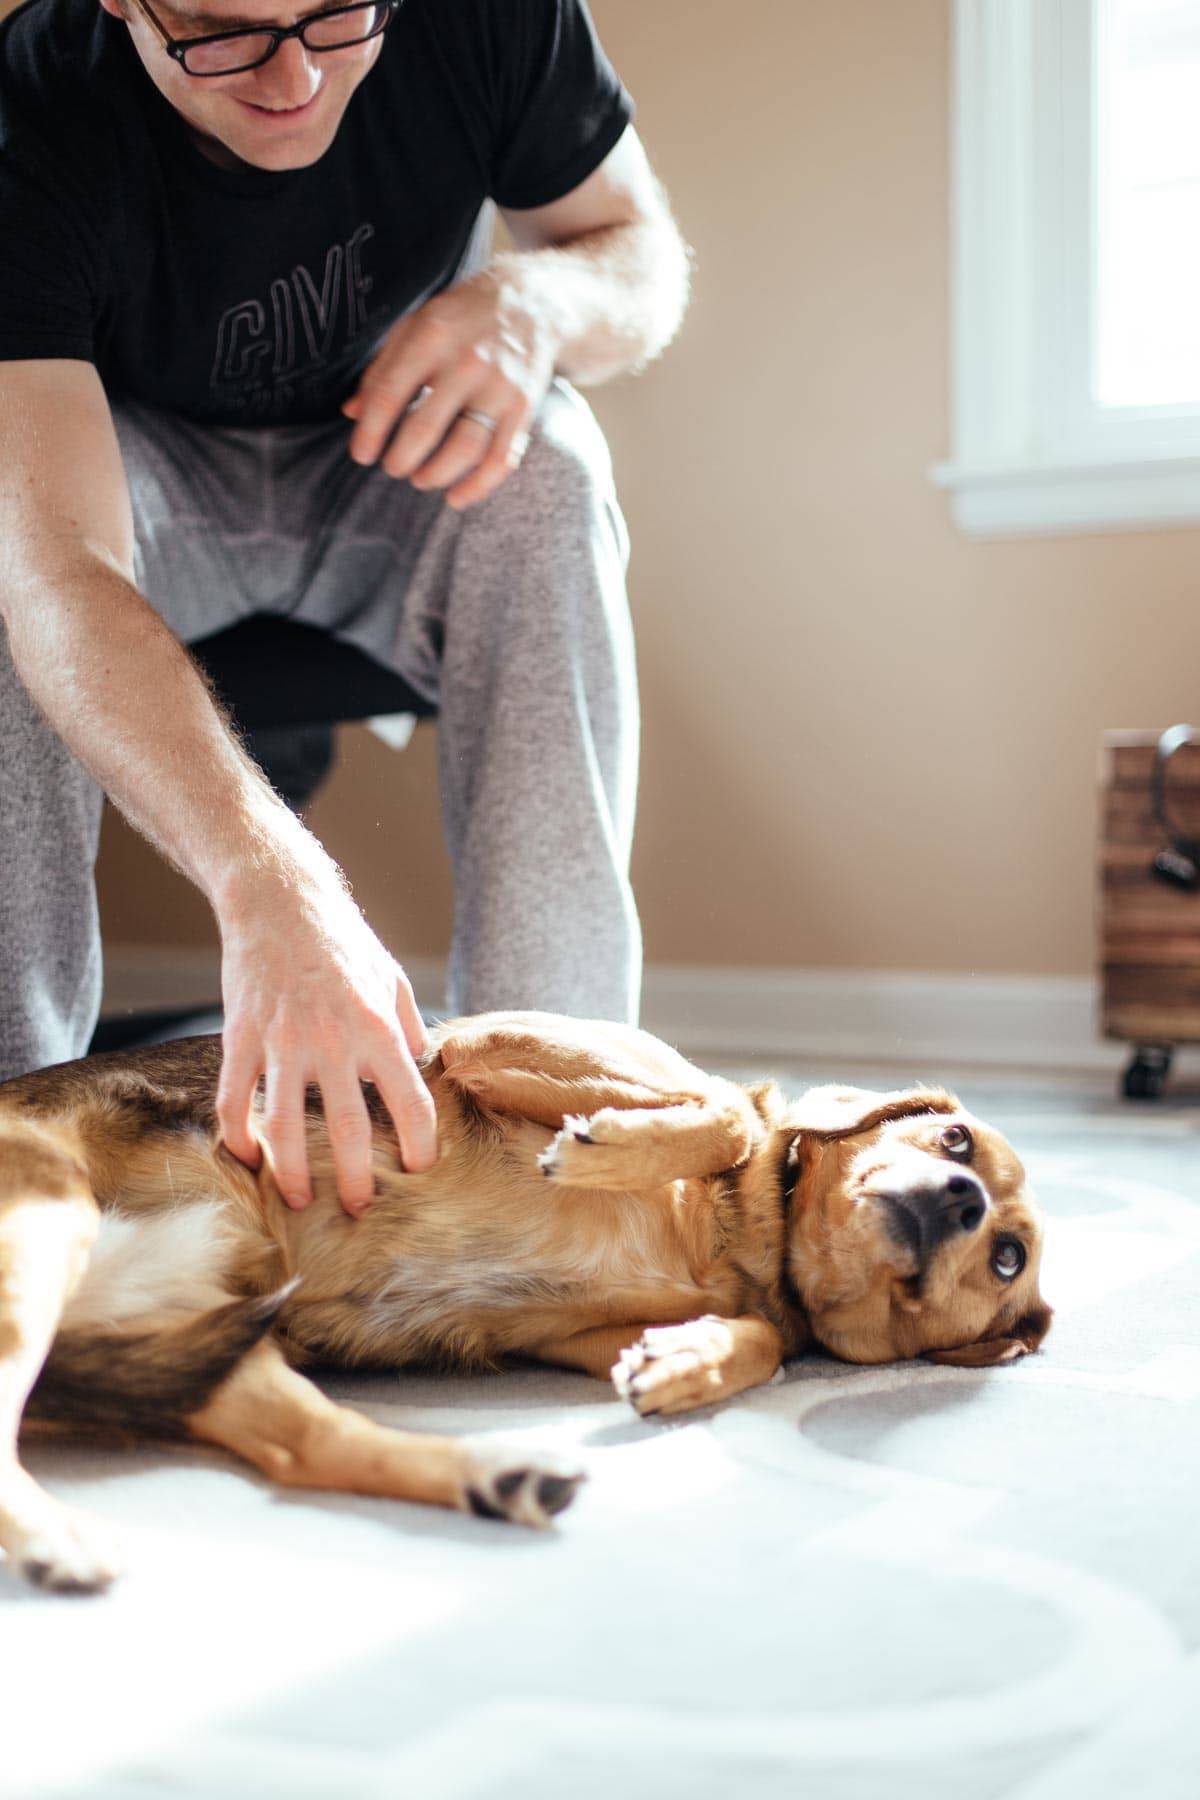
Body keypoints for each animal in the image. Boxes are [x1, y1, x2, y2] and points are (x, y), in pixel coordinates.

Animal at [0, 1015, 1050, 1591]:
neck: (750, 1230)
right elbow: (717, 1115)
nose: (963, 1201)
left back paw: (496, 1476)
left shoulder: (566, 1333)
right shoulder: (486, 1040)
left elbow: (759, 1336)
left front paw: (686, 1362)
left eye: (1007, 1259)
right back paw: (55, 1536)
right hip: (46, 1222)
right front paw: (611, 1148)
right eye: (956, 1140)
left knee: (311, 1449)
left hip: (203, 1336)